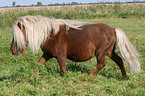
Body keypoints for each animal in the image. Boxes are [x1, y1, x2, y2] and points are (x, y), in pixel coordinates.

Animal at [10, 15, 140, 77]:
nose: (12, 50)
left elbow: (63, 70)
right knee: (119, 61)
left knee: (101, 64)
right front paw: (33, 77)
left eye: (16, 36)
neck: (50, 34)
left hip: (101, 52)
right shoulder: (47, 54)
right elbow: (38, 65)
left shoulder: (61, 56)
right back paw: (125, 76)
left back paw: (90, 76)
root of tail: (113, 29)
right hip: (109, 51)